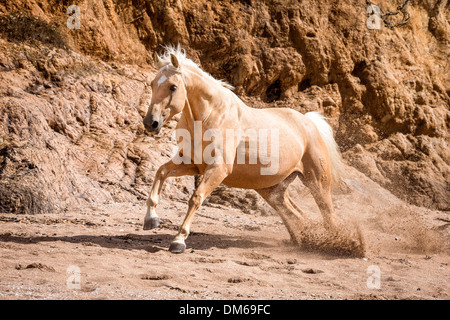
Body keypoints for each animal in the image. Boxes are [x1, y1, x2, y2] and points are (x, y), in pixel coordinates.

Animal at [142, 46, 342, 254]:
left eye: (173, 86)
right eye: (152, 84)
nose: (150, 123)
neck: (208, 117)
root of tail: (309, 123)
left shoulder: (218, 169)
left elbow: (196, 198)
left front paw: (178, 241)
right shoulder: (191, 164)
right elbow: (161, 172)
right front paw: (151, 219)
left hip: (317, 181)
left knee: (328, 214)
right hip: (271, 190)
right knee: (295, 213)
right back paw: (300, 242)